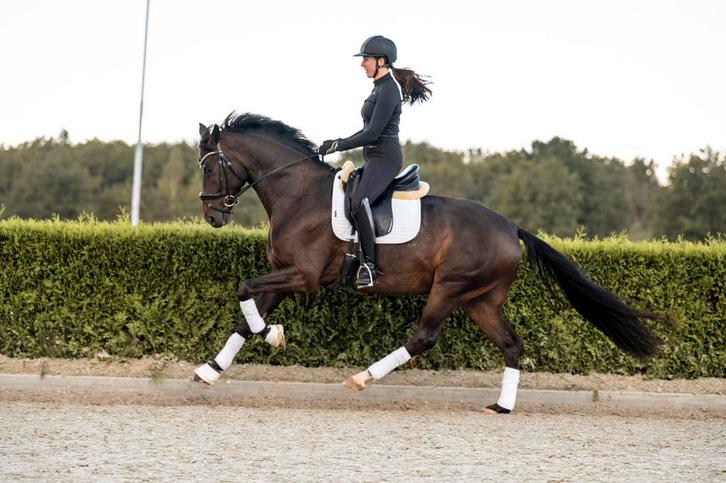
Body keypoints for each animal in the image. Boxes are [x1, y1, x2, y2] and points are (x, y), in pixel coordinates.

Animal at [192, 112, 666, 414]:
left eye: (210, 168)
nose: (213, 216)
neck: (298, 194)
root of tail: (511, 228)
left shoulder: (302, 276)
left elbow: (244, 293)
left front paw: (273, 335)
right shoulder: (283, 274)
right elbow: (246, 316)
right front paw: (210, 370)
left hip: (450, 287)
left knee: (424, 337)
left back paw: (363, 378)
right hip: (480, 300)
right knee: (512, 344)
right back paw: (502, 406)